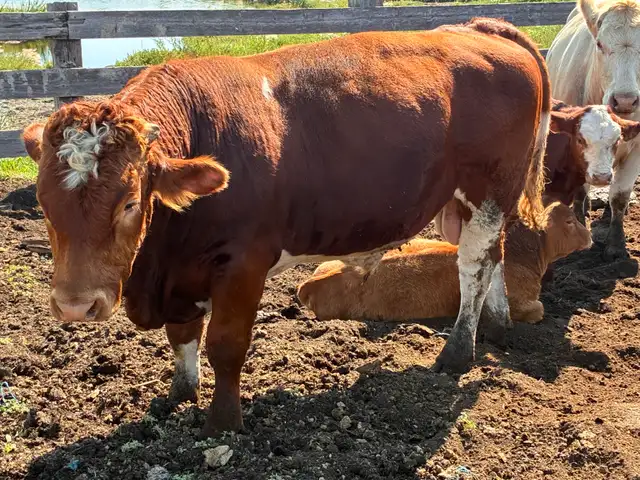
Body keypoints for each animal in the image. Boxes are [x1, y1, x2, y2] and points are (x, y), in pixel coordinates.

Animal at [22, 18, 550, 436]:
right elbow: (183, 335)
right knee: (494, 254)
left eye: (131, 202)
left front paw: (223, 422)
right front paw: (180, 392)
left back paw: (457, 353)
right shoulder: (182, 273)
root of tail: (477, 28)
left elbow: (226, 344)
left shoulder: (244, 263)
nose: (75, 306)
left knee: (474, 263)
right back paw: (497, 326)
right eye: (44, 205)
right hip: (462, 201)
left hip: (491, 188)